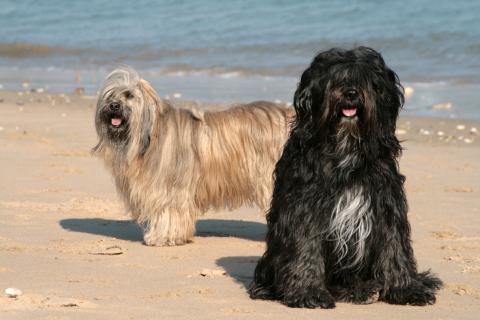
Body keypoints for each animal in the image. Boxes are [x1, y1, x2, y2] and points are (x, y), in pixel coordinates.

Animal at [251, 47, 442, 308]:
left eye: (366, 79)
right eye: (335, 77)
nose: (351, 93)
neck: (346, 147)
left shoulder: (385, 202)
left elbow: (394, 246)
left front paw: (406, 289)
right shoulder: (304, 205)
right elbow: (304, 245)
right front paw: (308, 292)